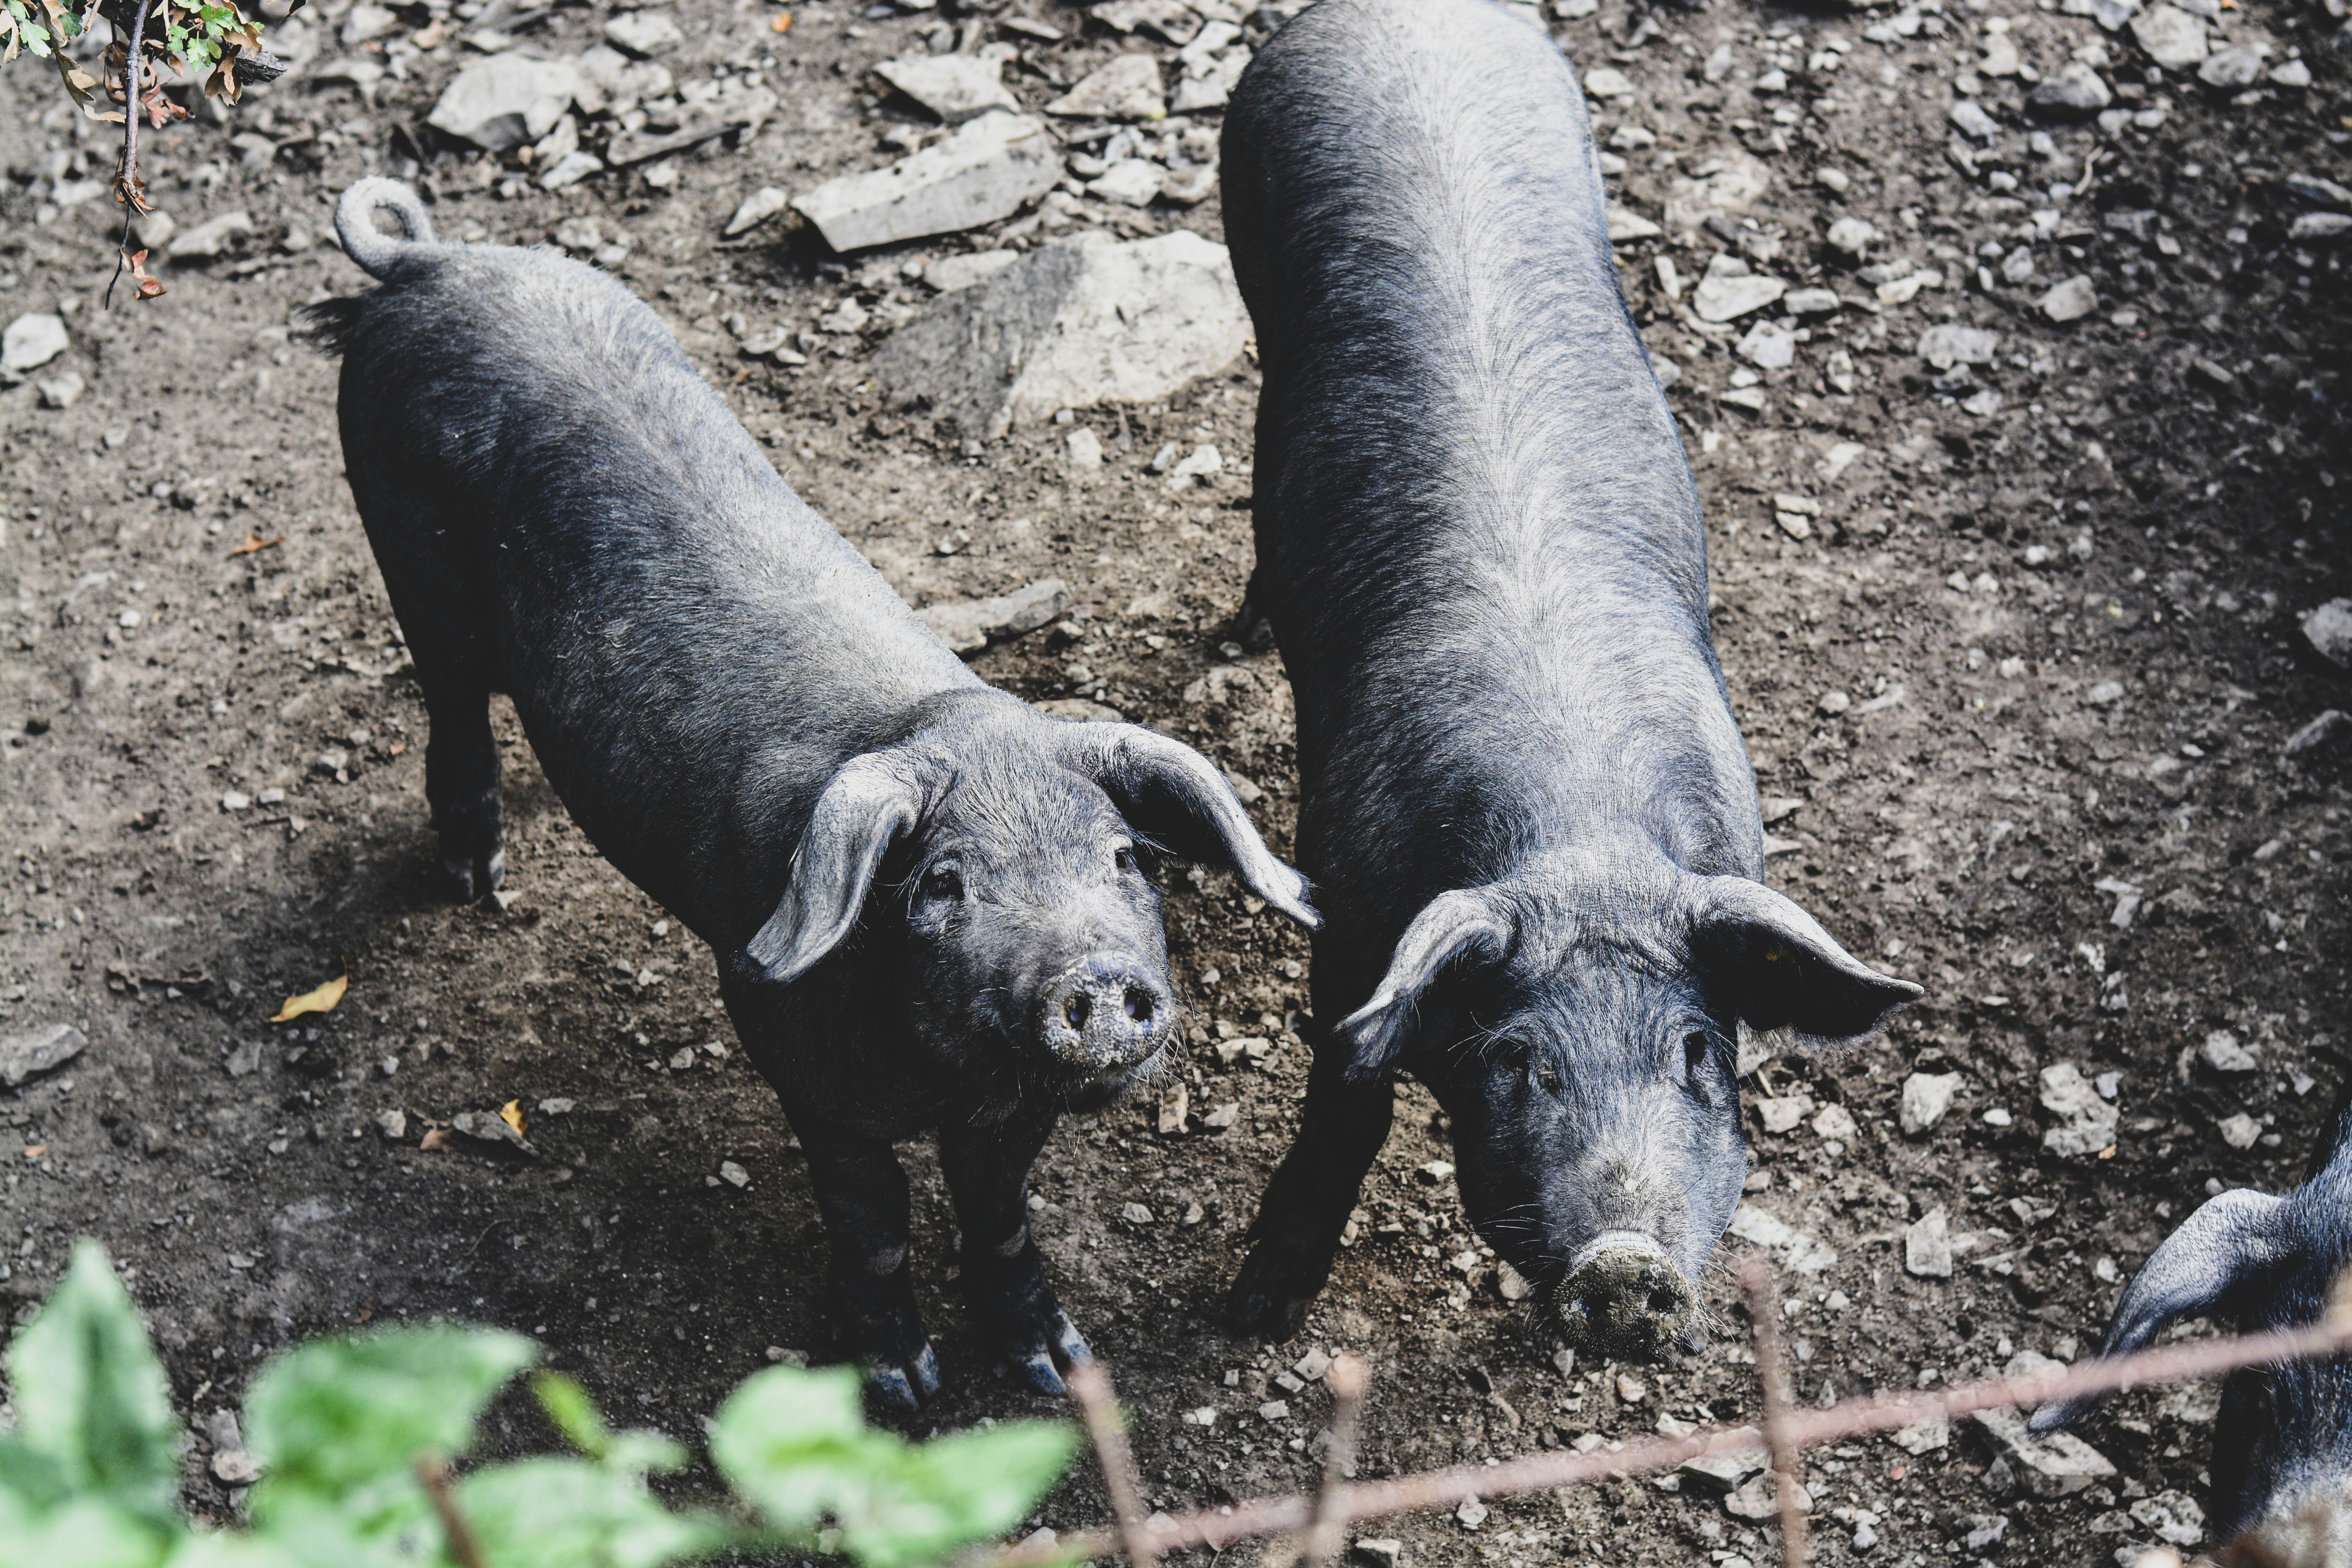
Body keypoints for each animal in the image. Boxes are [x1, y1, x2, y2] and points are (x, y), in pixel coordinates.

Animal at [310, 179, 1316, 1407]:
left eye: (1125, 861)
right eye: (941, 885)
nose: (1094, 974)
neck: (947, 1076)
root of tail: (431, 262)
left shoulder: (1014, 1111)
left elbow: (1002, 1217)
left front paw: (1059, 1370)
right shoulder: (788, 1048)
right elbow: (875, 1223)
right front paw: (904, 1391)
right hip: (403, 543)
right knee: (451, 699)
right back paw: (473, 884)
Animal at [1215, 0, 1920, 1362]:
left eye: (1698, 1052)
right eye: (1518, 1061)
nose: (1626, 1262)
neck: (1580, 832)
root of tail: (1398, 16)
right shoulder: (1347, 915)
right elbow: (1346, 1099)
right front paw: (1248, 1314)